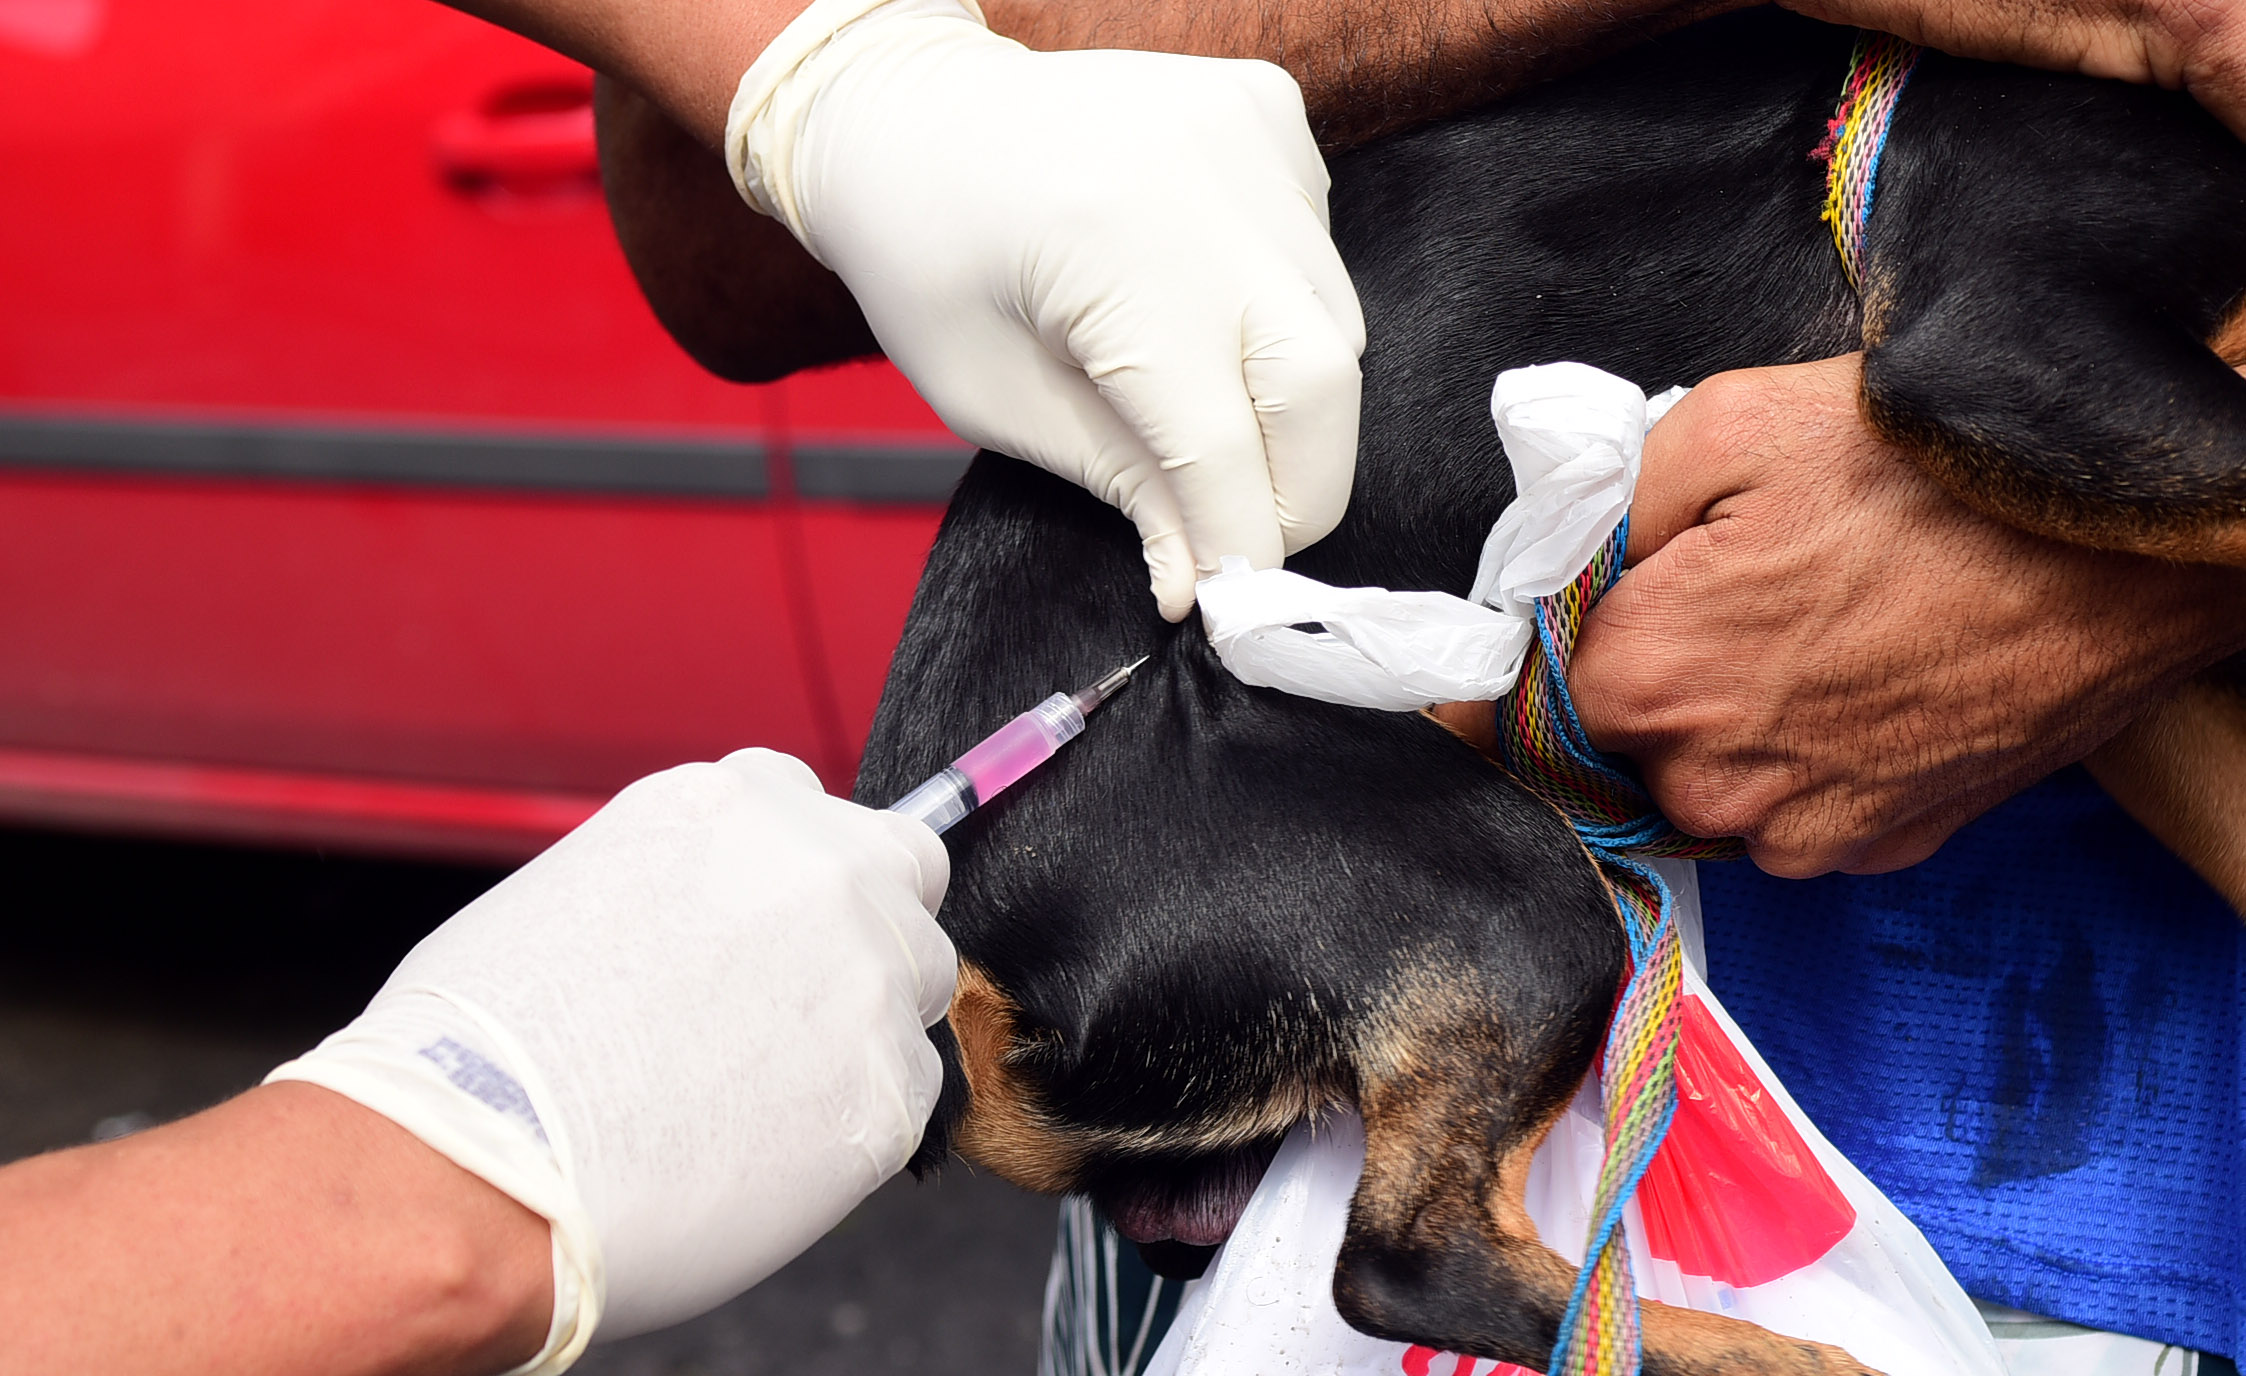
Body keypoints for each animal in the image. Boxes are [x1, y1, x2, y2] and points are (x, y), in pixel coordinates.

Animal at [844, 13, 2246, 1373]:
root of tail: (952, 940)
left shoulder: (2130, 673)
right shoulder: (2002, 342)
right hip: (1505, 893)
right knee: (1402, 1263)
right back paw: (1776, 1354)